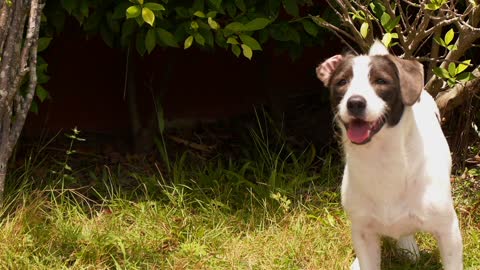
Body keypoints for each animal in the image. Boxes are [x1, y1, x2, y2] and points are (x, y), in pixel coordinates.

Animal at [316, 40, 464, 270]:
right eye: (342, 82)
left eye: (381, 81)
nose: (355, 102)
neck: (383, 162)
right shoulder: (363, 231)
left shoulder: (448, 231)